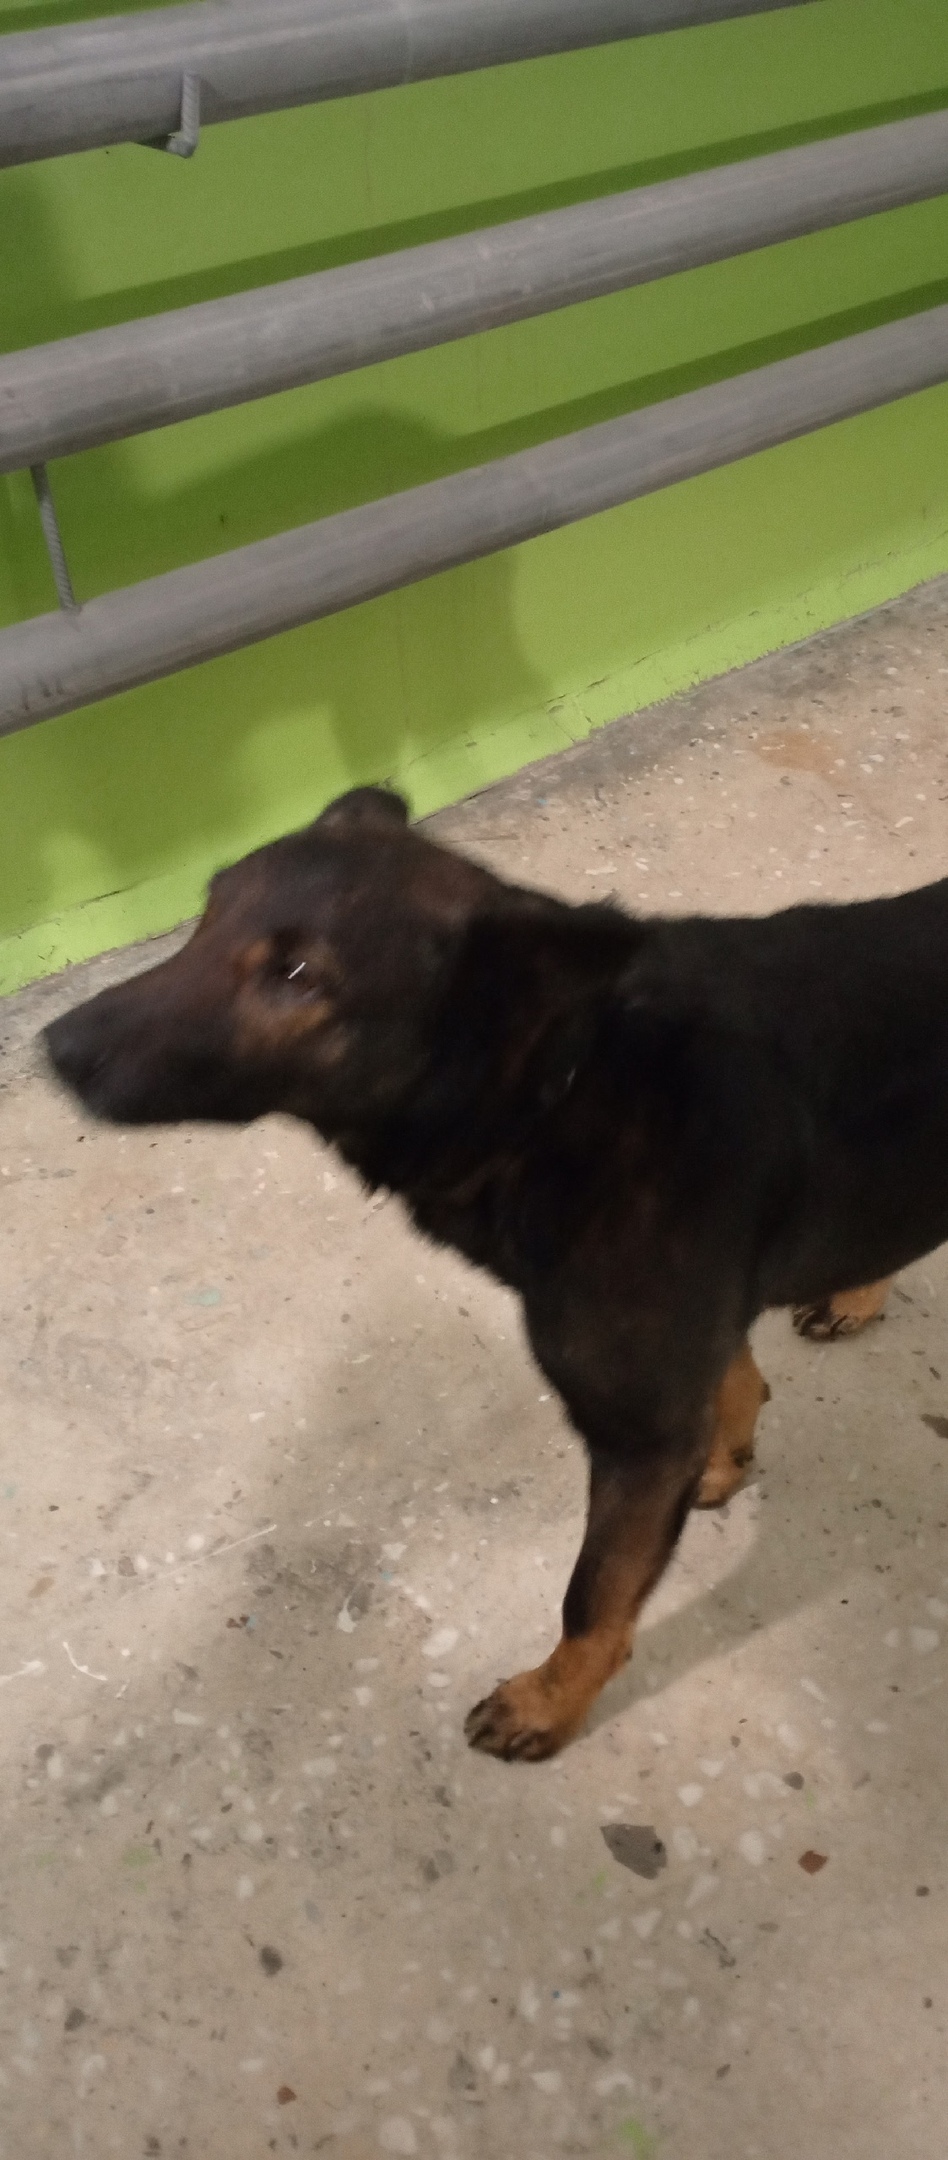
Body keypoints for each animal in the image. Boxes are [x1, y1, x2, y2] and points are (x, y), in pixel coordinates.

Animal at [45, 786, 948, 1759]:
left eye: (297, 976)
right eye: (206, 916)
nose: (54, 1048)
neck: (564, 1081)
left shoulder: (635, 1431)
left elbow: (592, 1600)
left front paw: (549, 1703)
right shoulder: (682, 1357)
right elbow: (734, 1381)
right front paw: (724, 1459)